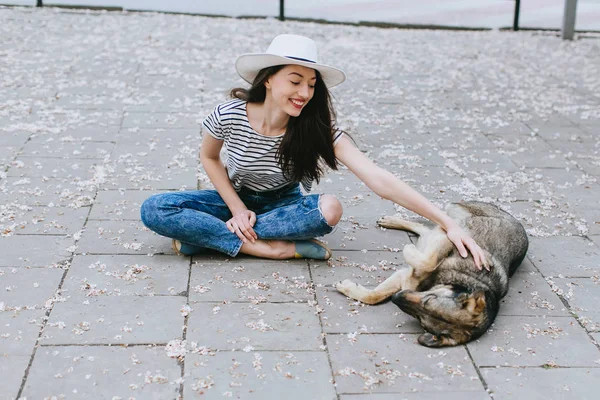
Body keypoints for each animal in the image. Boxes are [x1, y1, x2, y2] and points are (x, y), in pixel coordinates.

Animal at [336, 202, 528, 348]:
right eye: (429, 299)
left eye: (422, 321)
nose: (396, 298)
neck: (466, 280)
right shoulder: (450, 242)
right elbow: (427, 263)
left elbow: (374, 296)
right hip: (452, 223)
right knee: (428, 226)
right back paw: (394, 223)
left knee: (424, 230)